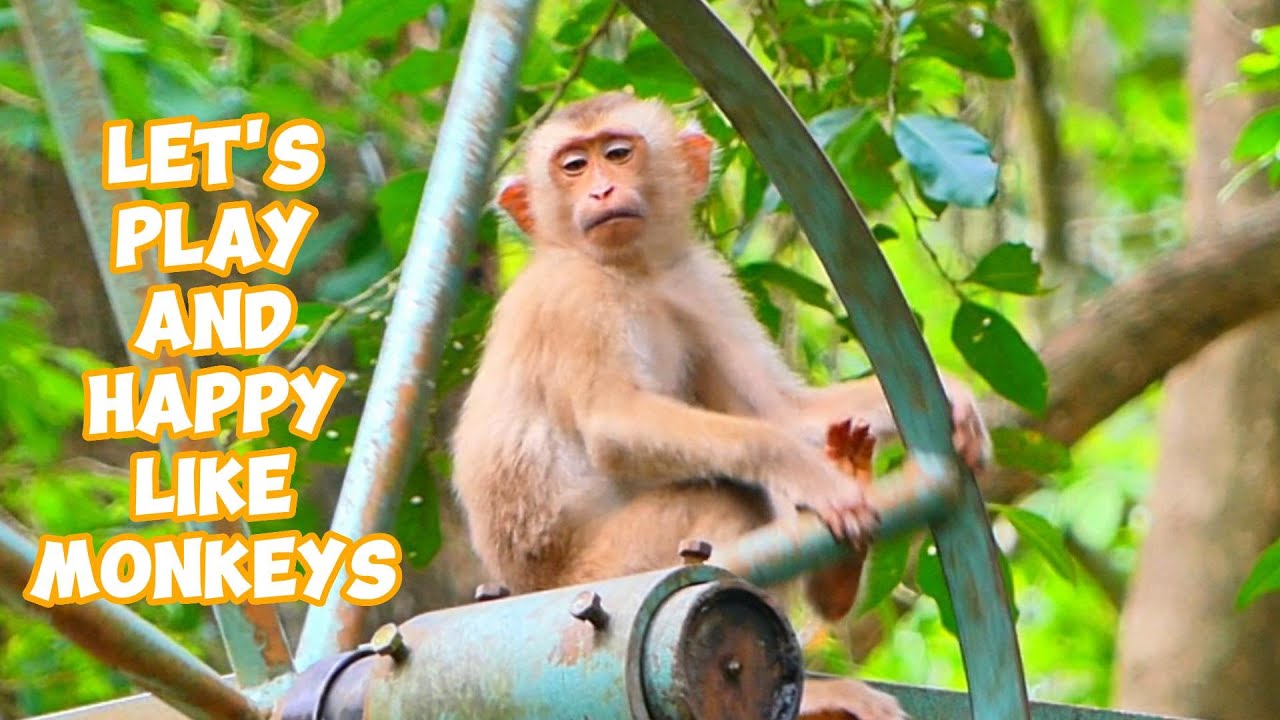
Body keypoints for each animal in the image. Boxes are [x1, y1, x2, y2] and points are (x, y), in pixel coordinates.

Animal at [450, 92, 990, 719]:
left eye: (617, 153)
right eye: (574, 166)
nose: (602, 191)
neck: (630, 271)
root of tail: (519, 588)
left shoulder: (697, 284)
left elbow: (779, 408)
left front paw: (954, 401)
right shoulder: (574, 297)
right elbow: (615, 423)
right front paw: (804, 470)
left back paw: (838, 569)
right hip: (597, 578)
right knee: (730, 498)